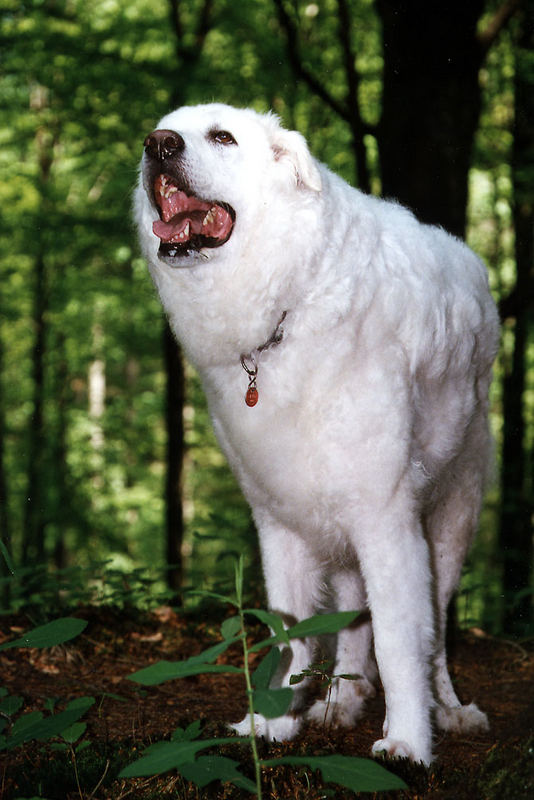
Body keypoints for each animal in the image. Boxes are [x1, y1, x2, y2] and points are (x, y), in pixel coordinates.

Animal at [135, 103, 502, 764]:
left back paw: (449, 711)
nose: (158, 146)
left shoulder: (387, 519)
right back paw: (341, 703)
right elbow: (291, 636)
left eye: (222, 137)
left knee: (434, 636)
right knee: (353, 619)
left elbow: (400, 642)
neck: (291, 299)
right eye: (162, 130)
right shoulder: (280, 524)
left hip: (450, 521)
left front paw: (408, 742)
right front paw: (271, 724)